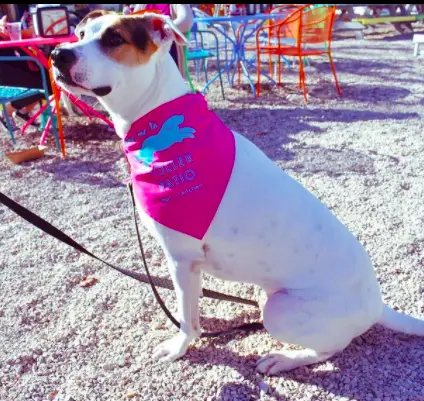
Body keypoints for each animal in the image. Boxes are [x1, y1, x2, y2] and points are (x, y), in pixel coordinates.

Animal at [50, 11, 424, 376]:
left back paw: (285, 359)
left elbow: (186, 318)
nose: (57, 54)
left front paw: (180, 346)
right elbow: (189, 305)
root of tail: (376, 304)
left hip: (279, 310)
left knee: (331, 348)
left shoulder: (182, 258)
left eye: (114, 38)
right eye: (80, 33)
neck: (158, 127)